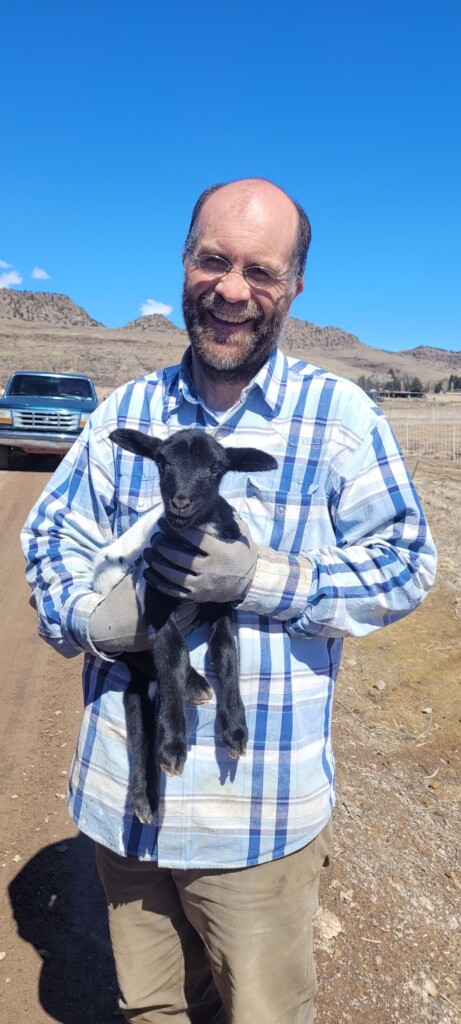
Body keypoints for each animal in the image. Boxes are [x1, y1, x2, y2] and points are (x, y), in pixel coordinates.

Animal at [91, 423, 274, 823]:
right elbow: (172, 653)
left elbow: (226, 652)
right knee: (142, 687)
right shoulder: (154, 594)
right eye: (161, 462)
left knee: (136, 707)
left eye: (218, 468)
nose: (180, 503)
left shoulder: (221, 594)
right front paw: (173, 745)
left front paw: (235, 730)